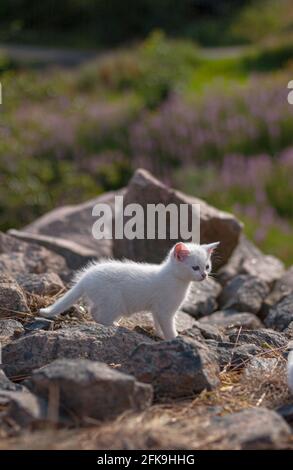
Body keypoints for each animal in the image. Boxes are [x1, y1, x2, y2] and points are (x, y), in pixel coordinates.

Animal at [39, 242, 217, 338]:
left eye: (207, 266)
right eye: (195, 267)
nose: (204, 275)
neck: (176, 280)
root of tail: (85, 278)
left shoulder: (157, 310)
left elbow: (158, 323)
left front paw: (160, 334)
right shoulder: (165, 309)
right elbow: (168, 326)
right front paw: (174, 338)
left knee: (93, 310)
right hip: (114, 302)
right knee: (100, 315)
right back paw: (113, 325)